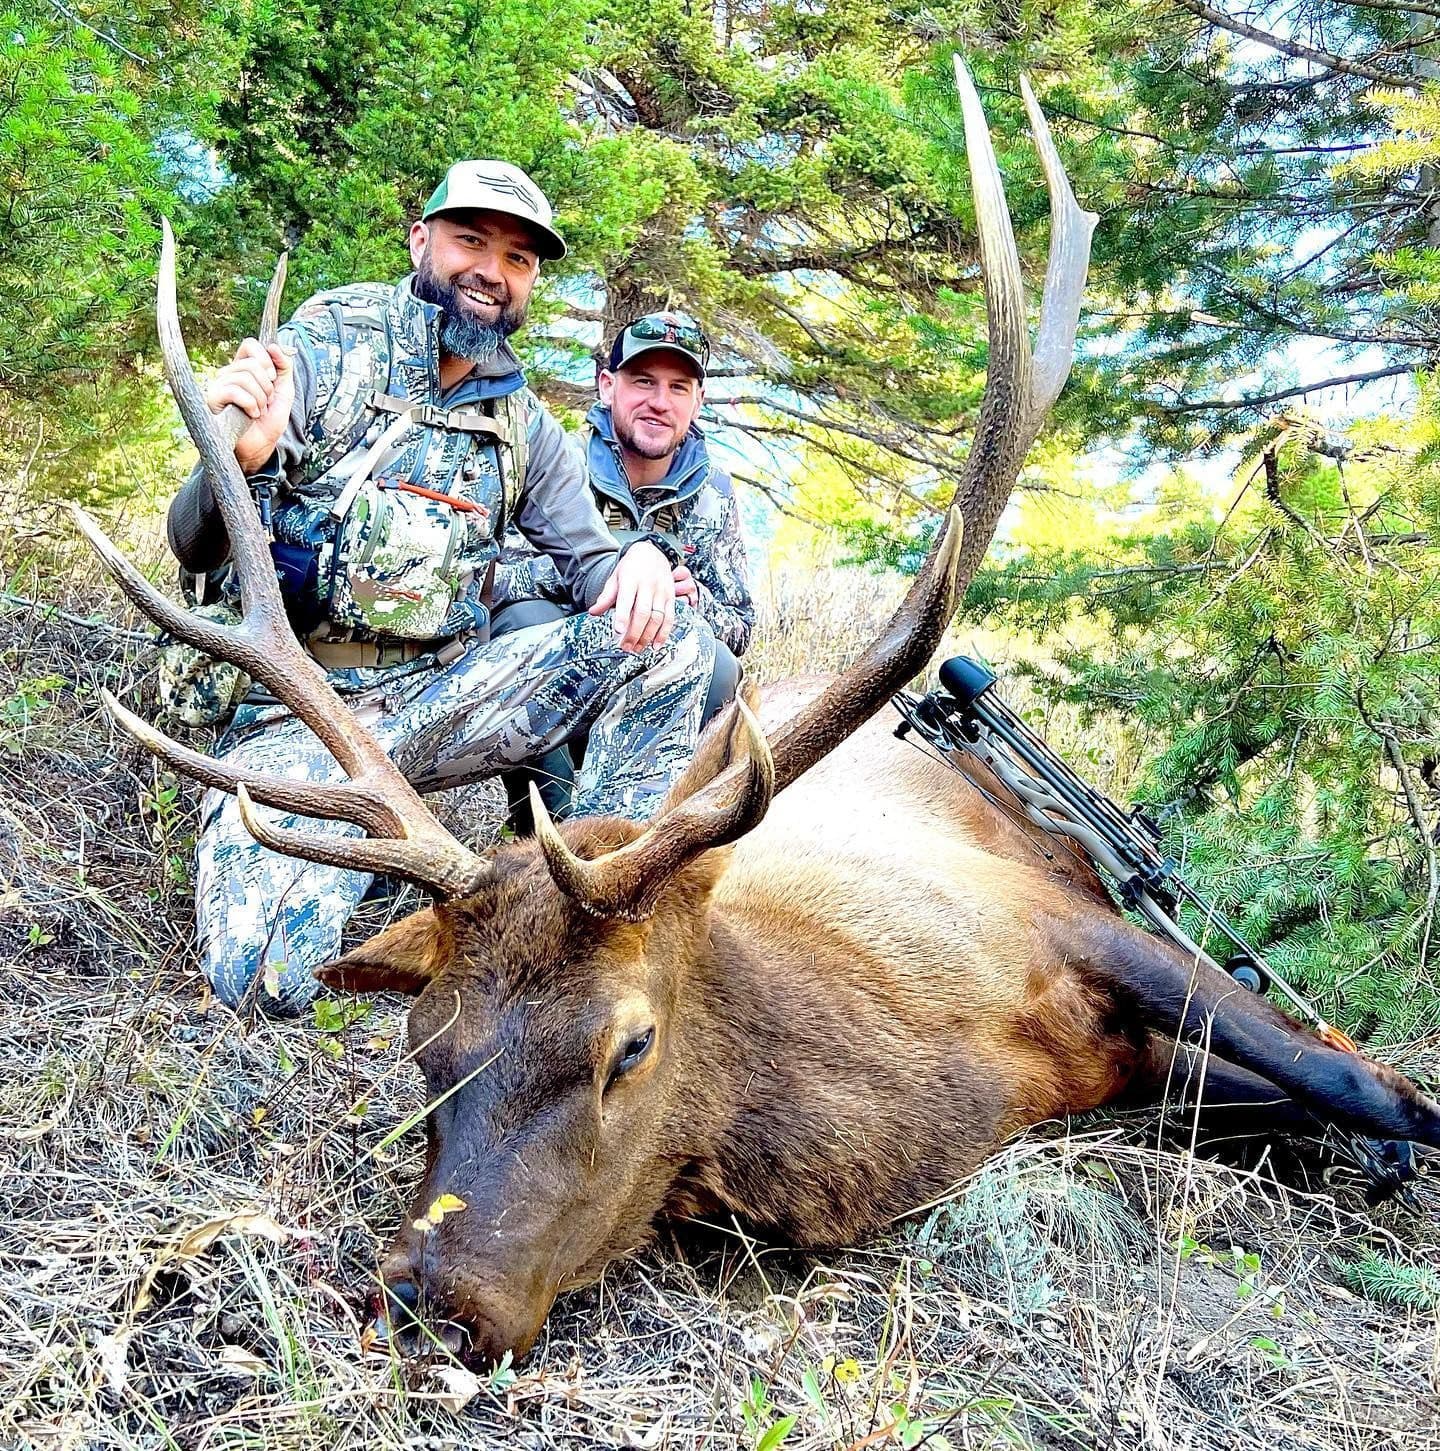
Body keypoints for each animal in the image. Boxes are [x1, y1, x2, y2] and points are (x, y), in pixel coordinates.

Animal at [75, 59, 1440, 1368]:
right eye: (426, 1045)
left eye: (630, 1045)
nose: (424, 1298)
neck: (946, 1069)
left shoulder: (1067, 921)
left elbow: (1358, 1078)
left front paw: (1393, 1124)